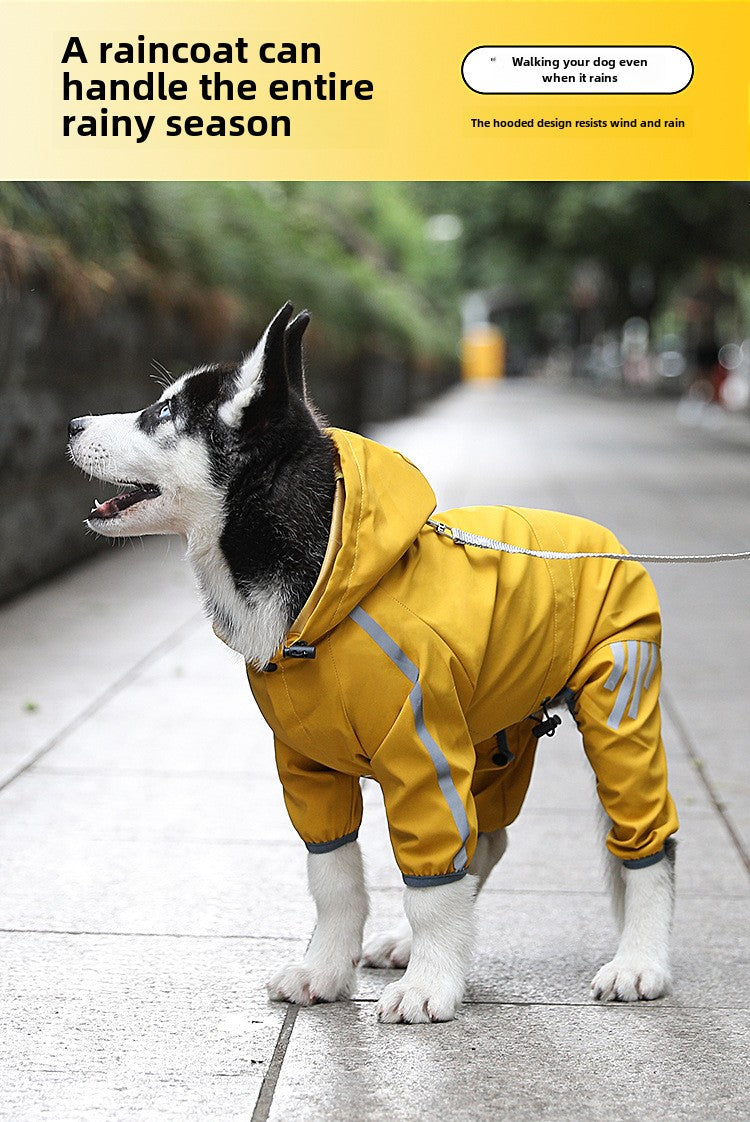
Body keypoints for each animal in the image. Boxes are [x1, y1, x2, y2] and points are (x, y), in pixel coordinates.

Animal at [70, 305, 678, 1027]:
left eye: (162, 413)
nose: (71, 425)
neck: (323, 584)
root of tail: (607, 541)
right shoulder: (309, 766)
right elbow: (335, 878)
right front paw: (328, 970)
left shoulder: (422, 752)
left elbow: (429, 880)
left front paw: (431, 983)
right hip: (492, 734)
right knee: (484, 842)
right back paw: (414, 943)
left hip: (619, 707)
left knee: (643, 841)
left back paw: (640, 959)